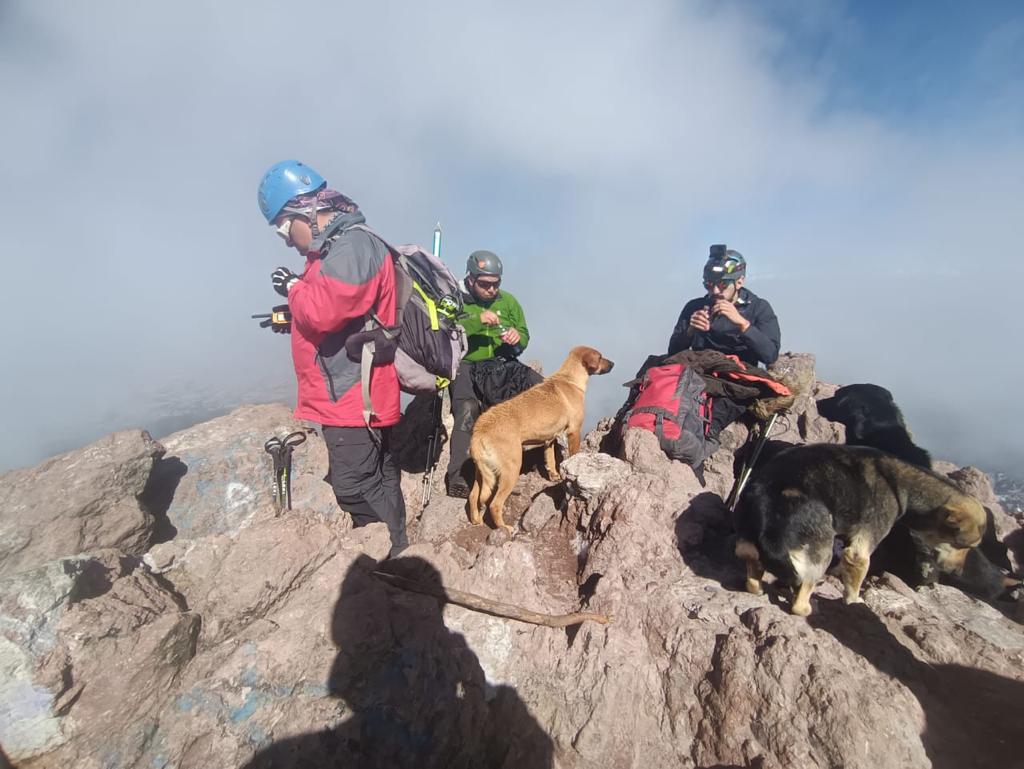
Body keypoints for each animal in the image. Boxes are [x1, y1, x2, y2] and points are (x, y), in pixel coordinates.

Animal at [466, 348, 614, 536]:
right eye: (600, 357)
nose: (613, 363)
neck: (569, 379)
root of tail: (479, 431)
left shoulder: (549, 439)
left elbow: (550, 459)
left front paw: (554, 475)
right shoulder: (574, 431)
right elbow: (573, 453)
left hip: (482, 473)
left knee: (473, 496)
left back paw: (476, 520)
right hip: (511, 470)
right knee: (494, 504)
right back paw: (505, 528)